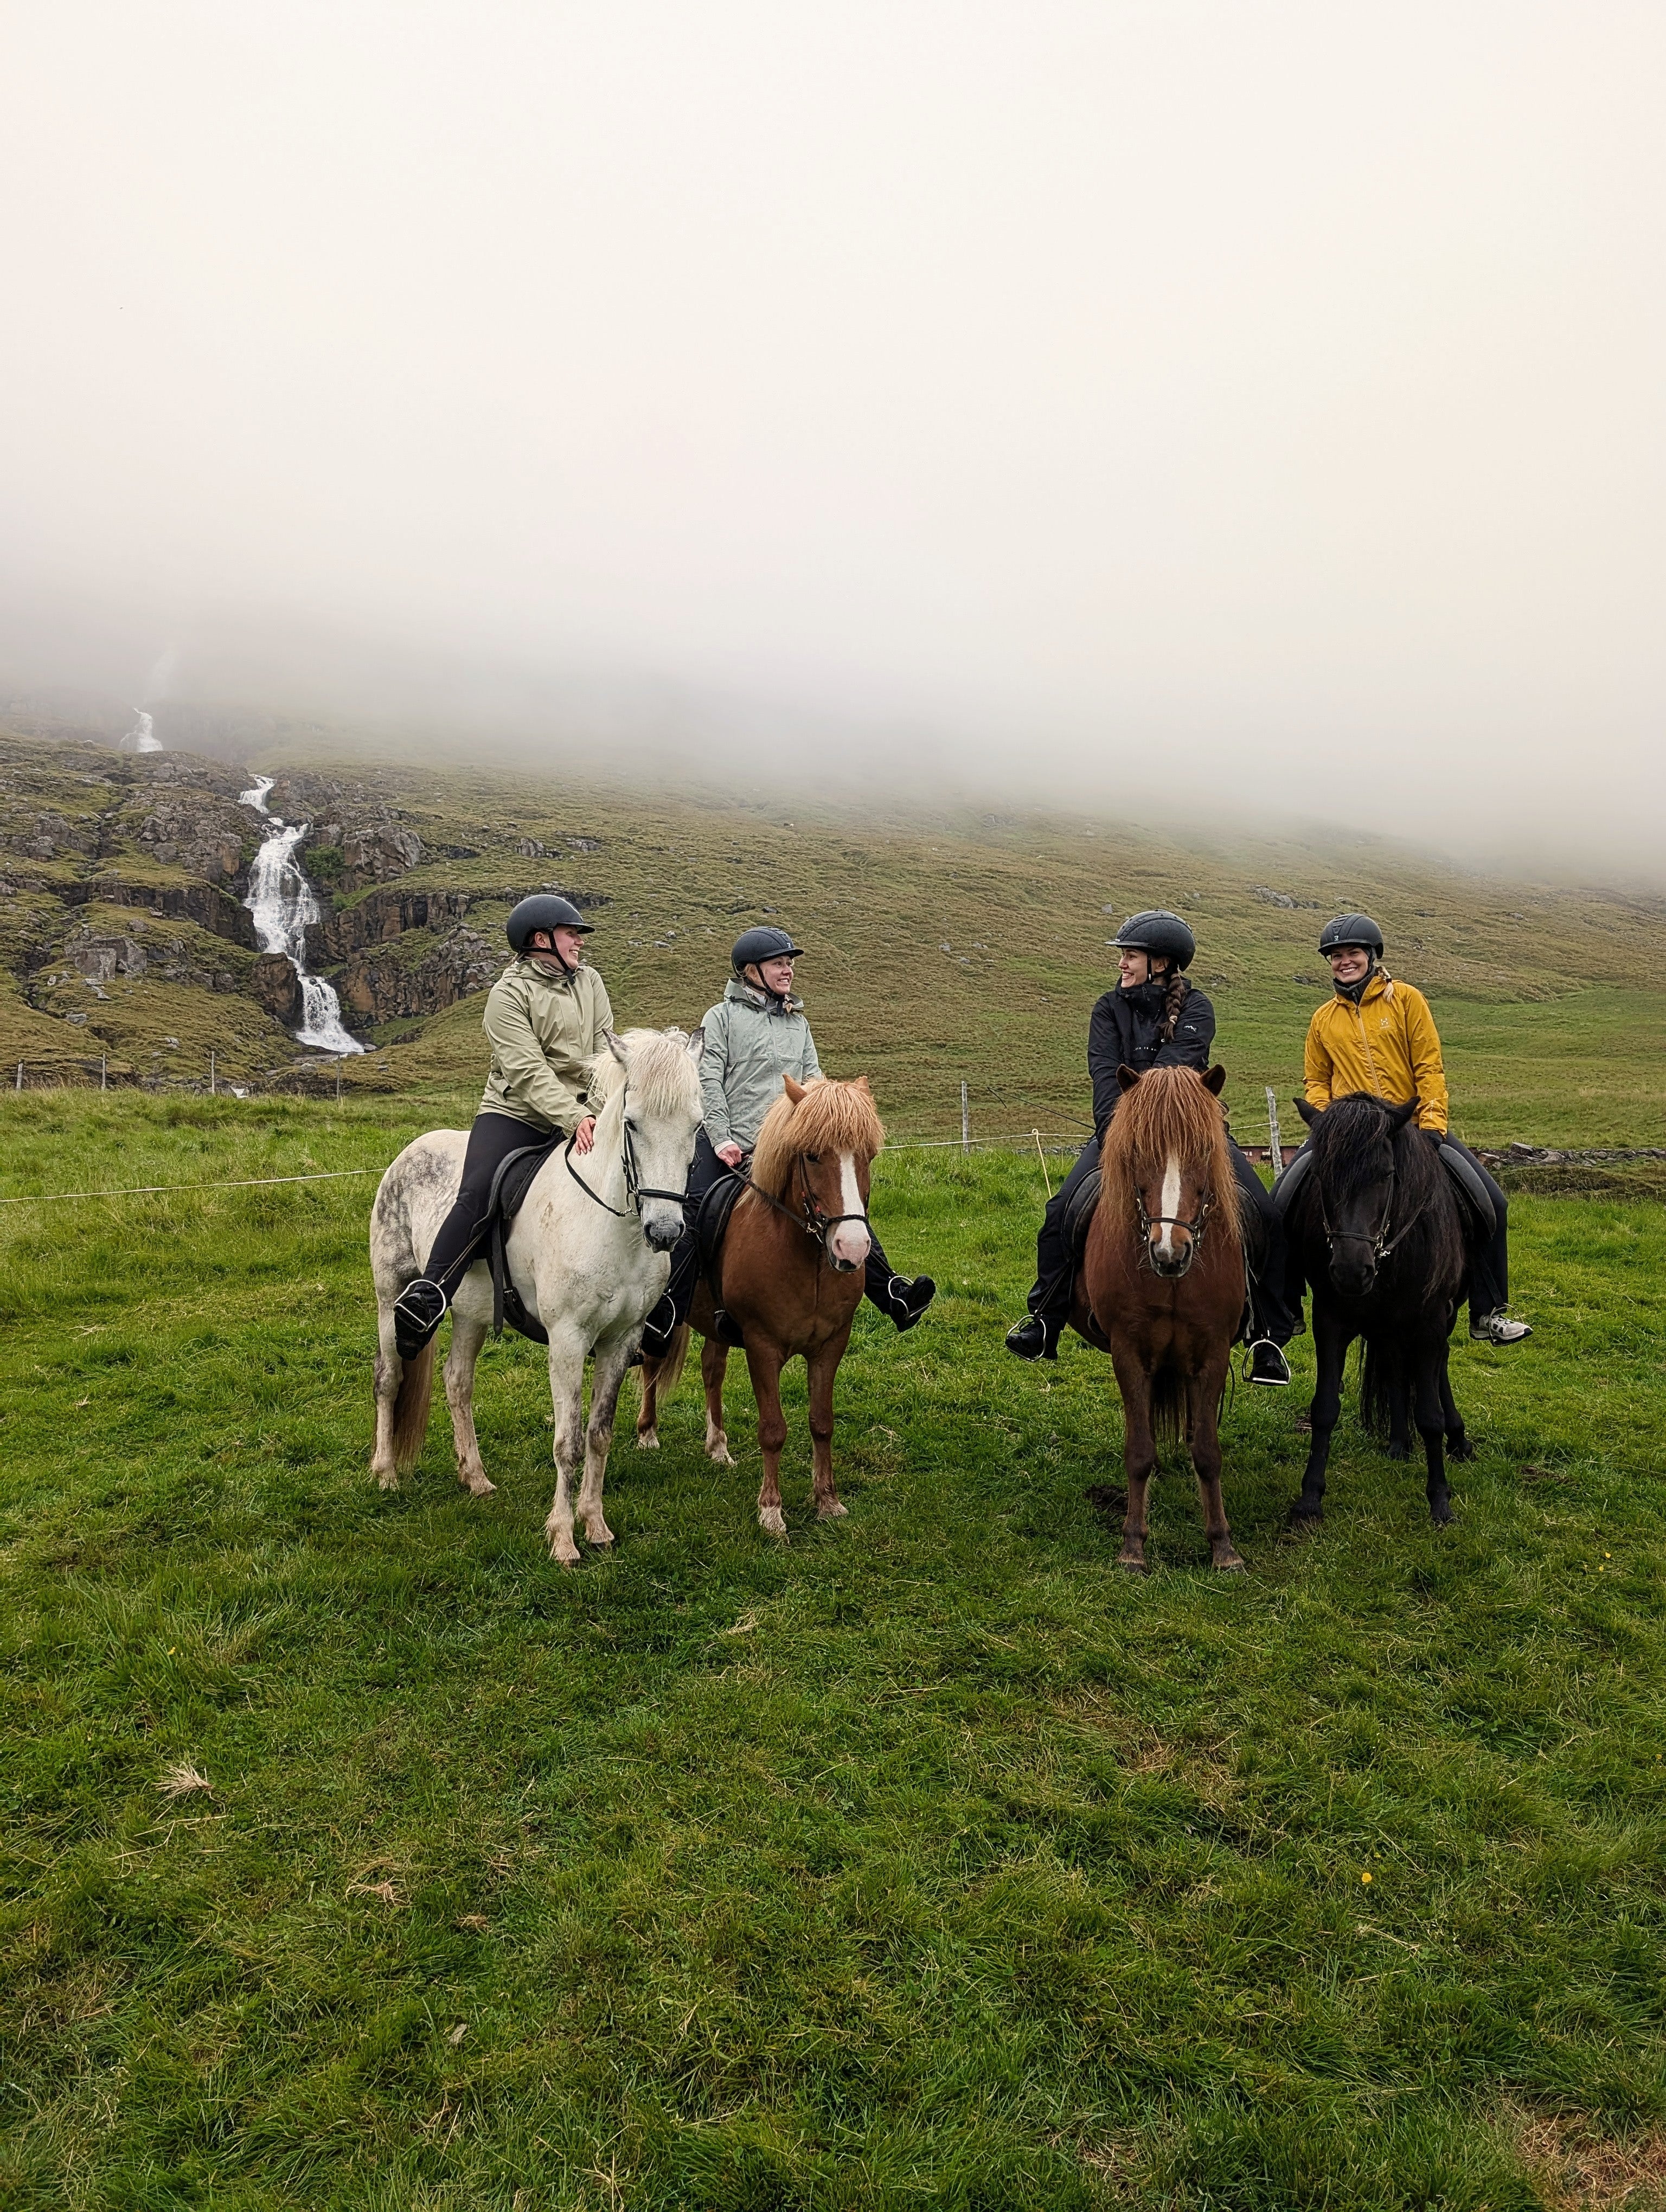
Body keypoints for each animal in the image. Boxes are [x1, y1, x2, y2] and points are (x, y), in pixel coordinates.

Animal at [369, 1026, 706, 1563]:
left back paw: (476, 1478)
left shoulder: (621, 1340)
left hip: (470, 1314)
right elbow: (567, 1442)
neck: (611, 1226)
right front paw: (563, 1539)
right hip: (390, 1293)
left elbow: (599, 1433)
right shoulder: (568, 1341)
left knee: (457, 1382)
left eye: (696, 1125)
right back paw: (384, 1473)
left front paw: (596, 1526)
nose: (666, 1230)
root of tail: (411, 1149)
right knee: (388, 1377)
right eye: (631, 1124)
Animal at [635, 1073, 882, 1536]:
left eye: (869, 1155)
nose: (853, 1248)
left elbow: (822, 1423)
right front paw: (771, 1511)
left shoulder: (831, 1346)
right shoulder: (762, 1348)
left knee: (711, 1371)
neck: (806, 1262)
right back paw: (647, 1433)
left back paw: (717, 1446)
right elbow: (772, 1429)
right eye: (812, 1156)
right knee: (652, 1364)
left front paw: (828, 1501)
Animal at [1075, 1063, 1247, 1573]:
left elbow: (1208, 1451)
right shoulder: (1128, 1352)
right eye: (1137, 1152)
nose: (1170, 1252)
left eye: (1205, 1150)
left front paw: (1222, 1546)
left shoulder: (1211, 1352)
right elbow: (1139, 1451)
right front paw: (1133, 1545)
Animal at [1284, 1092, 1472, 1528]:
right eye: (1322, 1175)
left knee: (1439, 1368)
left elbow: (1430, 1415)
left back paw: (1458, 1439)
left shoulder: (1430, 1323)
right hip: (1387, 1328)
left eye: (1387, 1174)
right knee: (1394, 1365)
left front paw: (1440, 1501)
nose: (1351, 1272)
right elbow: (1324, 1409)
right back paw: (1399, 1443)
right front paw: (1309, 1498)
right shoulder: (1330, 1321)